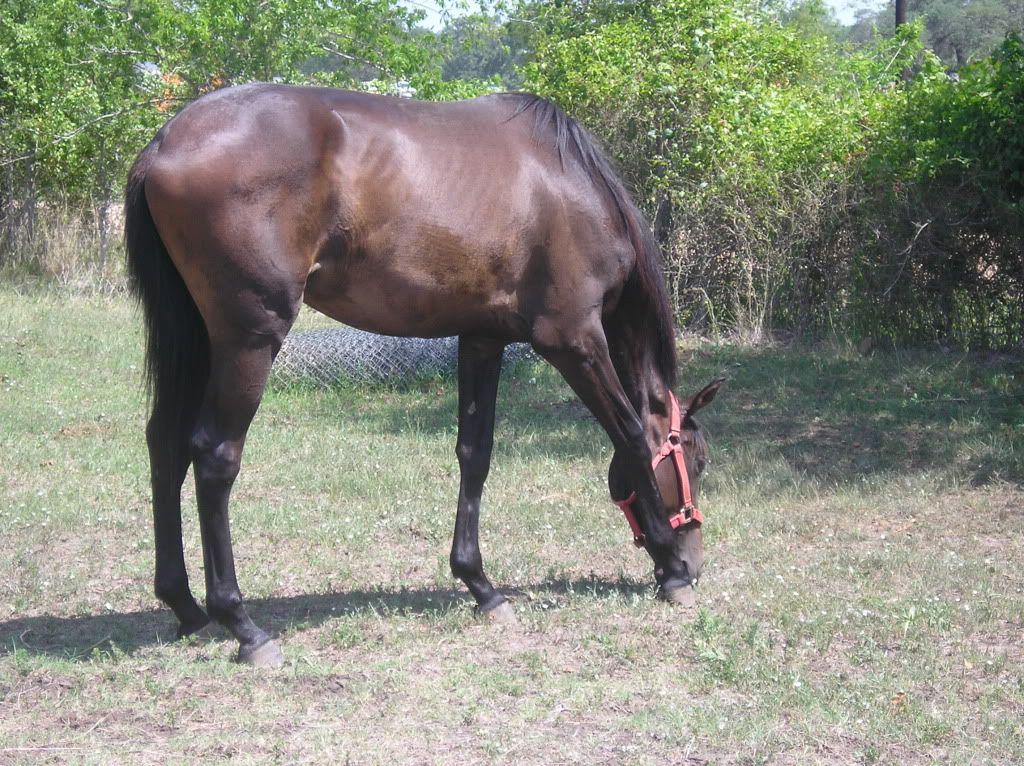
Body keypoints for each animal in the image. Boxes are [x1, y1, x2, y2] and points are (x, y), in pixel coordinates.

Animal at [124, 83, 723, 668]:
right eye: (696, 459)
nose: (694, 560)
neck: (571, 186)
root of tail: (164, 142)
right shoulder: (573, 340)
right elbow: (630, 434)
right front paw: (670, 571)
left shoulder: (482, 339)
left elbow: (475, 454)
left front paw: (481, 586)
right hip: (248, 340)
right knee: (214, 456)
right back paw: (243, 626)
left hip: (200, 338)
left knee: (166, 444)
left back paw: (185, 606)